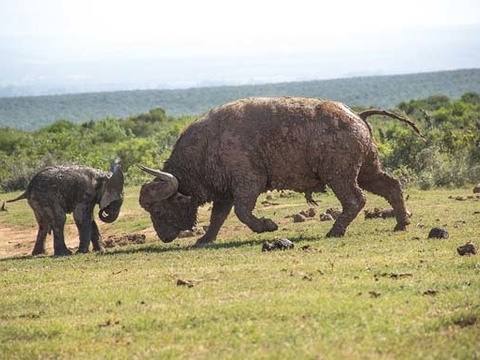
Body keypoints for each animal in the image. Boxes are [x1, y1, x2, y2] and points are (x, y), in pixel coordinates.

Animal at [139, 97, 416, 246]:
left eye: (159, 210)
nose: (164, 237)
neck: (208, 145)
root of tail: (357, 115)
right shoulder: (224, 194)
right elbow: (218, 218)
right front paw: (204, 239)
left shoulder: (248, 185)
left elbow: (242, 213)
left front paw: (267, 226)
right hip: (367, 171)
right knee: (392, 186)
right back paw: (401, 223)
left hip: (340, 176)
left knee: (355, 200)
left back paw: (335, 230)